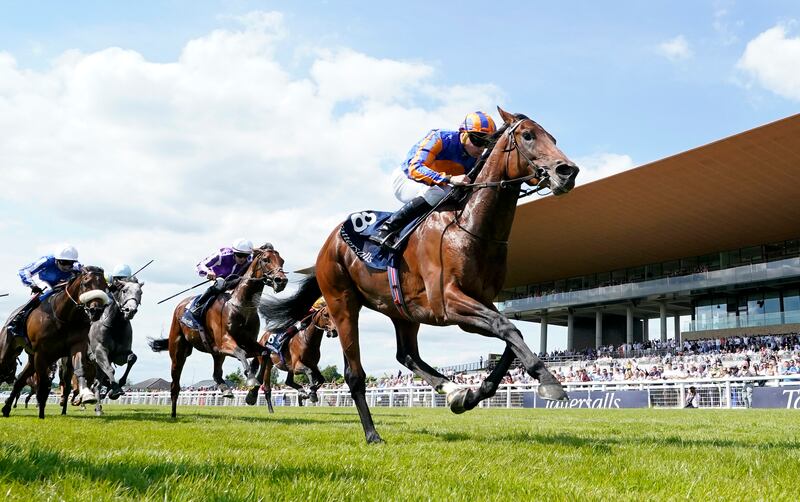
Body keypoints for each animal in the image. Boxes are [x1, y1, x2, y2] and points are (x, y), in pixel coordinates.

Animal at [0, 266, 110, 420]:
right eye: (86, 283)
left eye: (105, 286)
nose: (97, 310)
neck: (63, 316)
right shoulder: (41, 353)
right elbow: (43, 384)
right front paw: (41, 413)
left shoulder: (77, 346)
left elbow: (79, 369)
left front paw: (87, 395)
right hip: (10, 350)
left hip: (32, 359)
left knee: (20, 381)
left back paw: (6, 408)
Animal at [148, 245, 290, 418]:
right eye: (266, 259)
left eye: (282, 260)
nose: (281, 280)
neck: (241, 306)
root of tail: (180, 306)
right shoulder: (225, 342)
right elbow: (241, 353)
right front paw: (251, 380)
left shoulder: (247, 342)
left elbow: (265, 353)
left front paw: (252, 394)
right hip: (178, 352)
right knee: (175, 385)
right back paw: (173, 415)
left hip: (216, 353)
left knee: (216, 373)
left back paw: (225, 389)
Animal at [262, 108, 580, 442]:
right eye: (528, 135)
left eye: (553, 138)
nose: (568, 171)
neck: (470, 228)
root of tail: (328, 244)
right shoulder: (448, 303)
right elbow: (506, 328)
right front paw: (550, 381)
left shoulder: (477, 302)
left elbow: (509, 339)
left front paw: (473, 394)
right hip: (342, 304)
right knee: (354, 373)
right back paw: (372, 434)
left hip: (402, 311)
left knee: (407, 355)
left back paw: (452, 389)